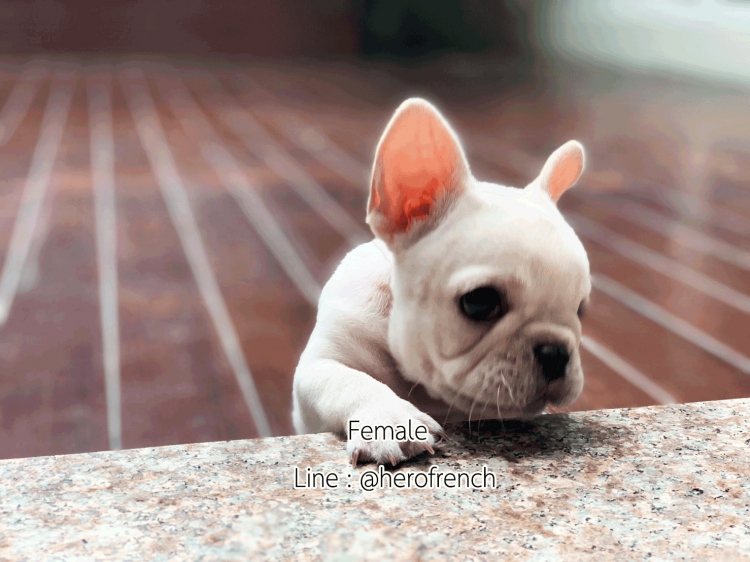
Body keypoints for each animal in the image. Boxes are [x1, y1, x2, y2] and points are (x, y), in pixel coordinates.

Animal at [292, 98, 590, 466]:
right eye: (479, 302)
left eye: (581, 310)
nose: (556, 353)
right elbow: (350, 381)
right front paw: (390, 419)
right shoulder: (320, 365)